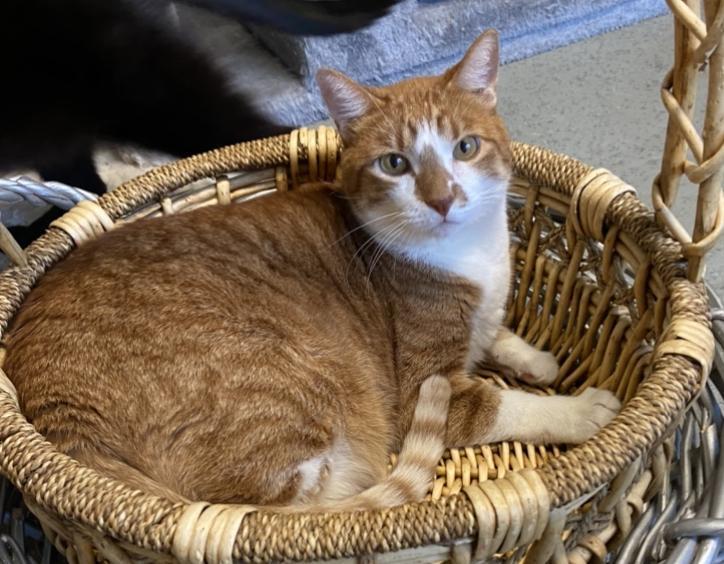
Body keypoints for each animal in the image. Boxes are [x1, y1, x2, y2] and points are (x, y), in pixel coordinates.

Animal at [2, 29, 620, 506]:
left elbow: (498, 334)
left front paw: (536, 359)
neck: (473, 256)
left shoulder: (485, 314)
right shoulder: (428, 384)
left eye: (465, 148)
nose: (442, 198)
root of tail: (52, 403)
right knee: (303, 503)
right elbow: (498, 403)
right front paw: (580, 410)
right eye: (395, 164)